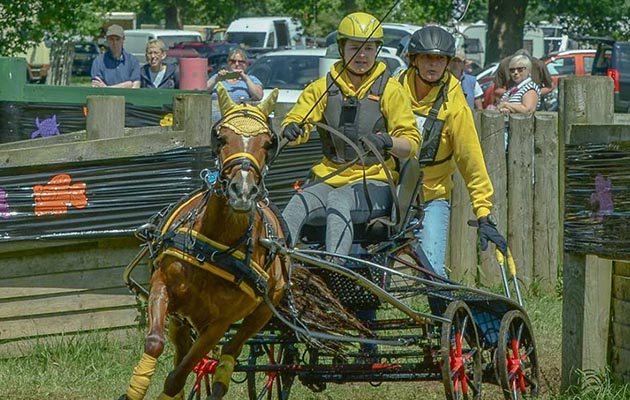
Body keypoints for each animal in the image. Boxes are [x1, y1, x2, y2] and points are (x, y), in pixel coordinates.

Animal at [121, 85, 286, 400]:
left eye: (268, 143)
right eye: (221, 138)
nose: (242, 191)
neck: (212, 250)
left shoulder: (220, 322)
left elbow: (180, 374)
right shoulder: (162, 286)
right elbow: (155, 343)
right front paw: (133, 390)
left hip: (260, 313)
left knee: (230, 351)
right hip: (183, 317)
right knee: (183, 347)